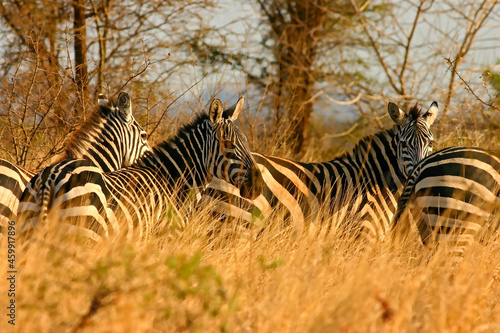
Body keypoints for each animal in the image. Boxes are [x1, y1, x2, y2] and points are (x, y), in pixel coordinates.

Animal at [17, 96, 264, 241]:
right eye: (228, 144)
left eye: (246, 143)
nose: (259, 185)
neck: (173, 181)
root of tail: (51, 177)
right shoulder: (164, 238)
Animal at [202, 99, 438, 241]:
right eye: (404, 144)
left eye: (431, 142)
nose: (418, 175)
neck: (375, 179)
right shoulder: (363, 234)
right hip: (238, 223)